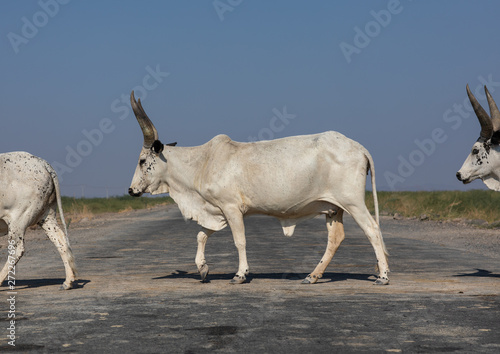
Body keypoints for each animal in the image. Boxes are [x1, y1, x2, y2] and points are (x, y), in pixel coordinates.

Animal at [0, 152, 76, 290]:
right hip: (47, 216)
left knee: (17, 250)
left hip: (17, 220)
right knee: (61, 240)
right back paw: (68, 282)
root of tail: (42, 164)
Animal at [127, 91, 388, 284]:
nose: (131, 191)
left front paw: (240, 274)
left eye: (142, 160)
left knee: (372, 230)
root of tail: (358, 146)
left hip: (353, 202)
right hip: (333, 208)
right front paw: (202, 269)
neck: (203, 162)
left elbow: (239, 241)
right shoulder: (217, 211)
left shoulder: (231, 208)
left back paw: (383, 276)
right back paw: (313, 276)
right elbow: (201, 235)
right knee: (336, 239)